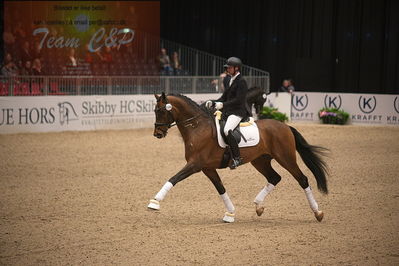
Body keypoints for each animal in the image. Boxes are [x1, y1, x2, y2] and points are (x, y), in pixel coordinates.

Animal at [148, 93, 330, 222]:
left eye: (161, 111)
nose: (158, 133)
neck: (197, 127)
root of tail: (285, 126)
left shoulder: (195, 165)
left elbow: (174, 178)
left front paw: (155, 202)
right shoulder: (207, 168)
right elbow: (221, 188)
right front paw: (230, 214)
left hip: (286, 158)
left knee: (303, 179)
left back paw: (318, 212)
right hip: (260, 161)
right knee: (275, 177)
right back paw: (258, 206)